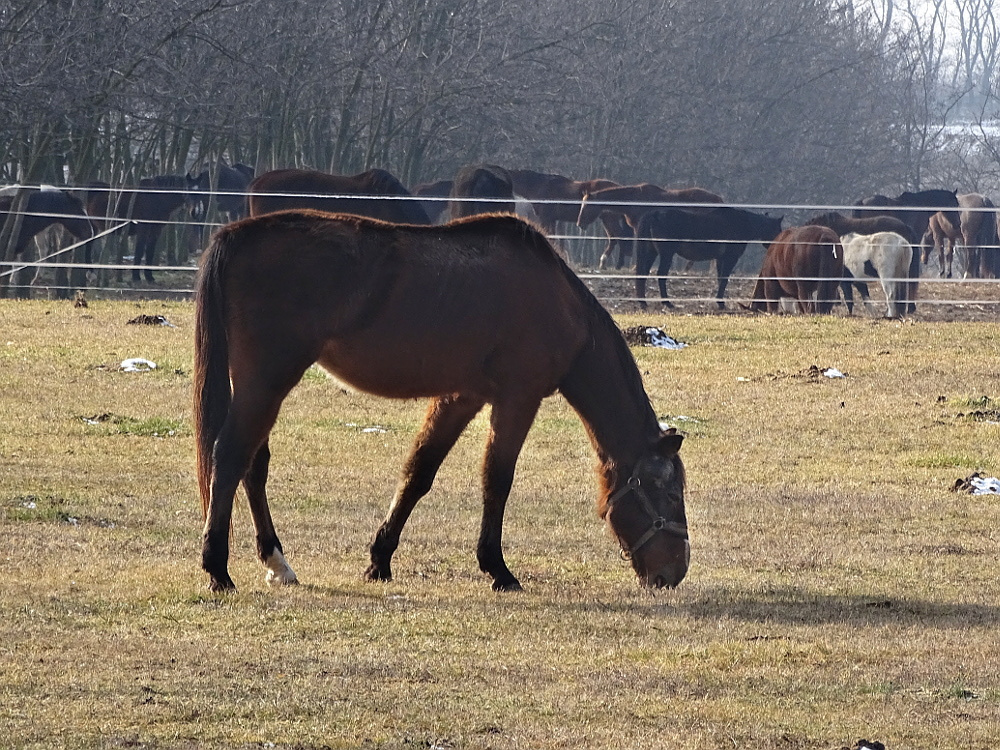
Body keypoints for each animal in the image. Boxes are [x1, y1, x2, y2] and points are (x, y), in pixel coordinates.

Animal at [195, 210, 692, 592]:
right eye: (669, 492)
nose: (674, 572)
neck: (557, 297)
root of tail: (235, 235)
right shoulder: (518, 397)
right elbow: (497, 478)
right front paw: (498, 569)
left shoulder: (461, 396)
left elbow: (419, 471)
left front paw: (380, 560)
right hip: (267, 380)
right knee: (230, 456)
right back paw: (218, 568)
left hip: (261, 385)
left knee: (252, 464)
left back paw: (276, 562)